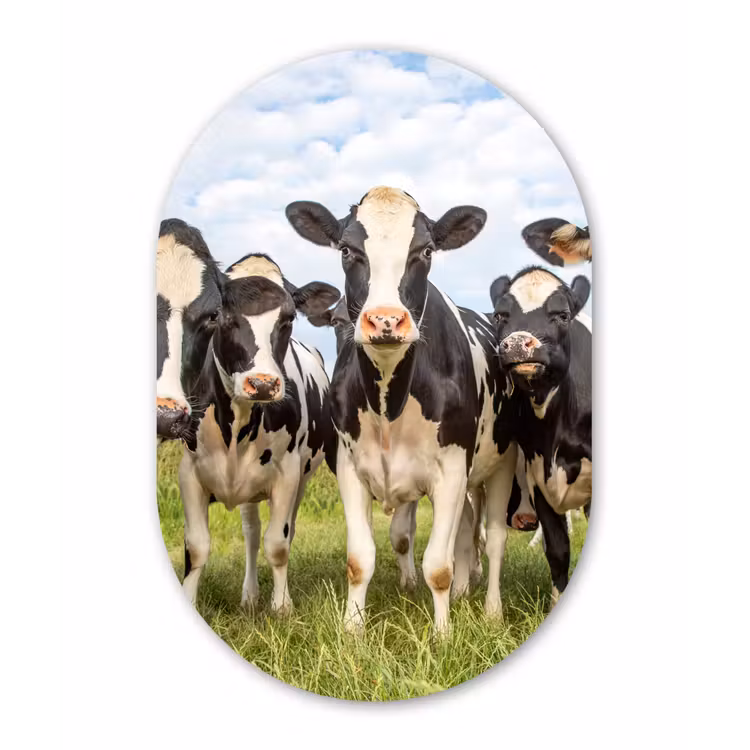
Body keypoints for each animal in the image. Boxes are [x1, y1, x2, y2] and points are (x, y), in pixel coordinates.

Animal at [177, 252, 340, 613]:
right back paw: (249, 595)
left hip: (301, 478)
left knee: (283, 531)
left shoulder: (288, 473)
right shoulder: (189, 472)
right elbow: (196, 546)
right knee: (251, 533)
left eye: (289, 318)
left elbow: (278, 543)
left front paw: (281, 606)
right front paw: (188, 601)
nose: (263, 384)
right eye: (220, 315)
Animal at [286, 186, 523, 634]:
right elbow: (361, 559)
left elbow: (439, 566)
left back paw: (491, 610)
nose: (385, 320)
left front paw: (443, 635)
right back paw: (465, 591)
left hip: (502, 462)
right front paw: (353, 630)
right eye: (346, 249)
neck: (389, 401)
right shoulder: (350, 467)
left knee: (495, 538)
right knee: (467, 531)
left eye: (425, 250)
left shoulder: (452, 470)